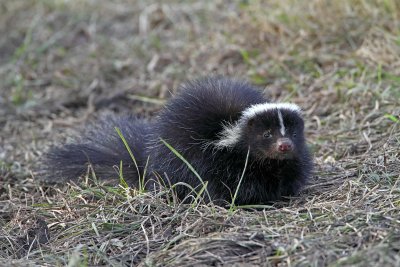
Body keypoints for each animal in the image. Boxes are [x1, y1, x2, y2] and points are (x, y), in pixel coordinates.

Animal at [43, 76, 312, 206]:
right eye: (267, 135)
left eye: (292, 133)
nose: (284, 145)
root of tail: (147, 160)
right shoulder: (216, 162)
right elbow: (231, 185)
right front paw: (251, 201)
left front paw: (282, 194)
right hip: (175, 163)